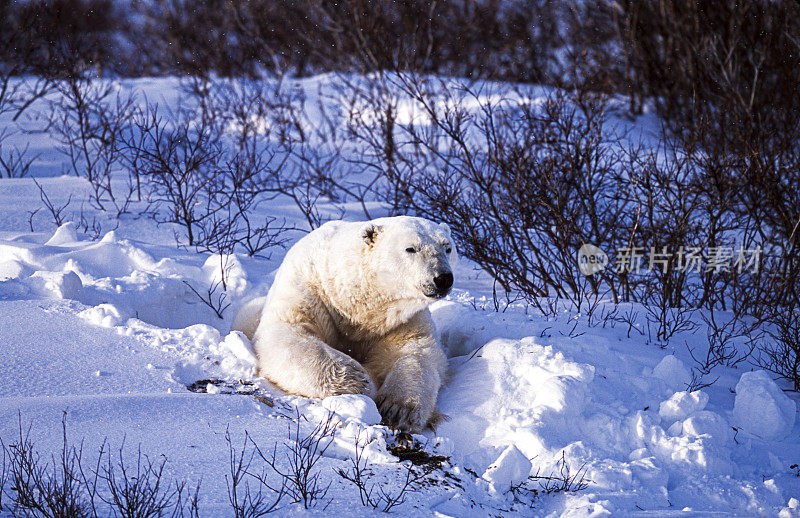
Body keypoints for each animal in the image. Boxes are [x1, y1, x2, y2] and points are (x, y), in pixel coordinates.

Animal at [231, 217, 456, 432]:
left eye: (447, 247)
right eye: (411, 248)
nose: (443, 278)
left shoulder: (399, 320)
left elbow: (418, 350)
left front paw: (399, 409)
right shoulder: (310, 291)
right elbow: (289, 331)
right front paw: (358, 381)